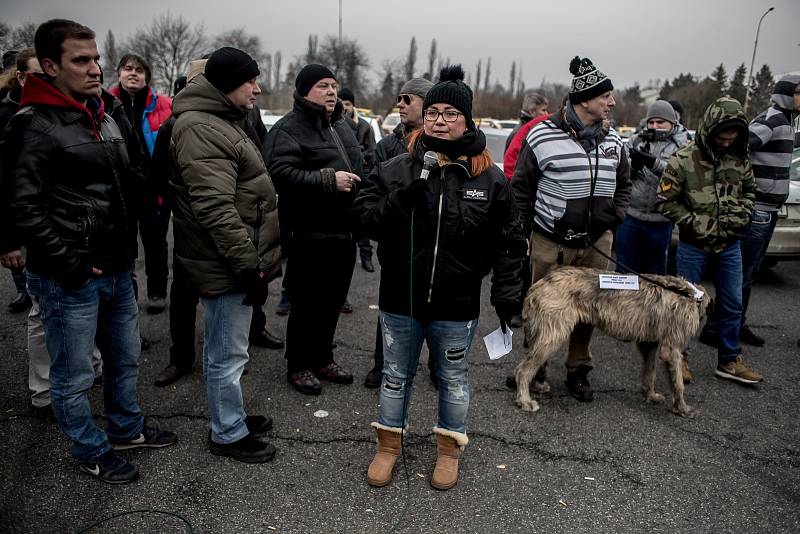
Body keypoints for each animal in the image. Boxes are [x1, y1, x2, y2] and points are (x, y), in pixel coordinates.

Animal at [516, 268, 708, 418]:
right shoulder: (672, 347)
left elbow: (650, 371)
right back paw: (525, 400)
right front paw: (683, 408)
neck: (688, 293)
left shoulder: (649, 344)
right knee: (523, 369)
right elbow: (678, 382)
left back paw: (536, 386)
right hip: (553, 334)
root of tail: (536, 286)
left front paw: (651, 395)